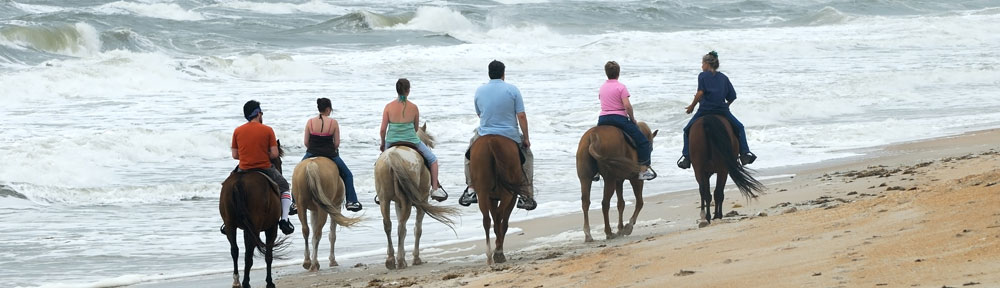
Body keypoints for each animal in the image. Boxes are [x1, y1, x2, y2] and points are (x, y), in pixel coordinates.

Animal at [220, 141, 290, 286]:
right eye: (279, 161)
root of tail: (239, 183)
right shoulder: (272, 228)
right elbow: (268, 255)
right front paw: (269, 282)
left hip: (230, 225)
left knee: (235, 250)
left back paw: (237, 281)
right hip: (254, 227)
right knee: (249, 254)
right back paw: (246, 282)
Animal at [372, 124, 458, 270]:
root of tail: (391, 157)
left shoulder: (398, 203)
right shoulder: (421, 202)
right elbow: (418, 229)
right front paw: (416, 258)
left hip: (384, 200)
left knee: (388, 225)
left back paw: (391, 260)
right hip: (409, 201)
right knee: (401, 227)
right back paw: (400, 261)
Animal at [470, 134, 532, 264]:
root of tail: (491, 140)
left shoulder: (491, 198)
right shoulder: (512, 197)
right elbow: (504, 223)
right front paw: (499, 250)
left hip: (482, 192)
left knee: (487, 220)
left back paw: (489, 255)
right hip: (507, 193)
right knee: (499, 216)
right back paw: (498, 252)